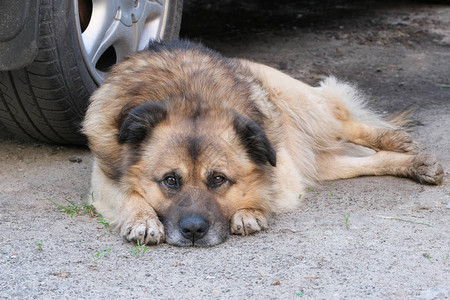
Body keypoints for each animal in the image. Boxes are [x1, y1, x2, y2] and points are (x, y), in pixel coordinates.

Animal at [82, 39, 444, 246]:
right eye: (170, 180)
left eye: (218, 179)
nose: (194, 231)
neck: (190, 96)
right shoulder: (104, 173)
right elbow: (129, 192)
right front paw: (142, 218)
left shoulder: (281, 168)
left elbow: (263, 186)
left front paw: (249, 211)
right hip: (321, 163)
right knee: (365, 161)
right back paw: (413, 164)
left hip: (308, 107)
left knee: (346, 121)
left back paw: (400, 142)